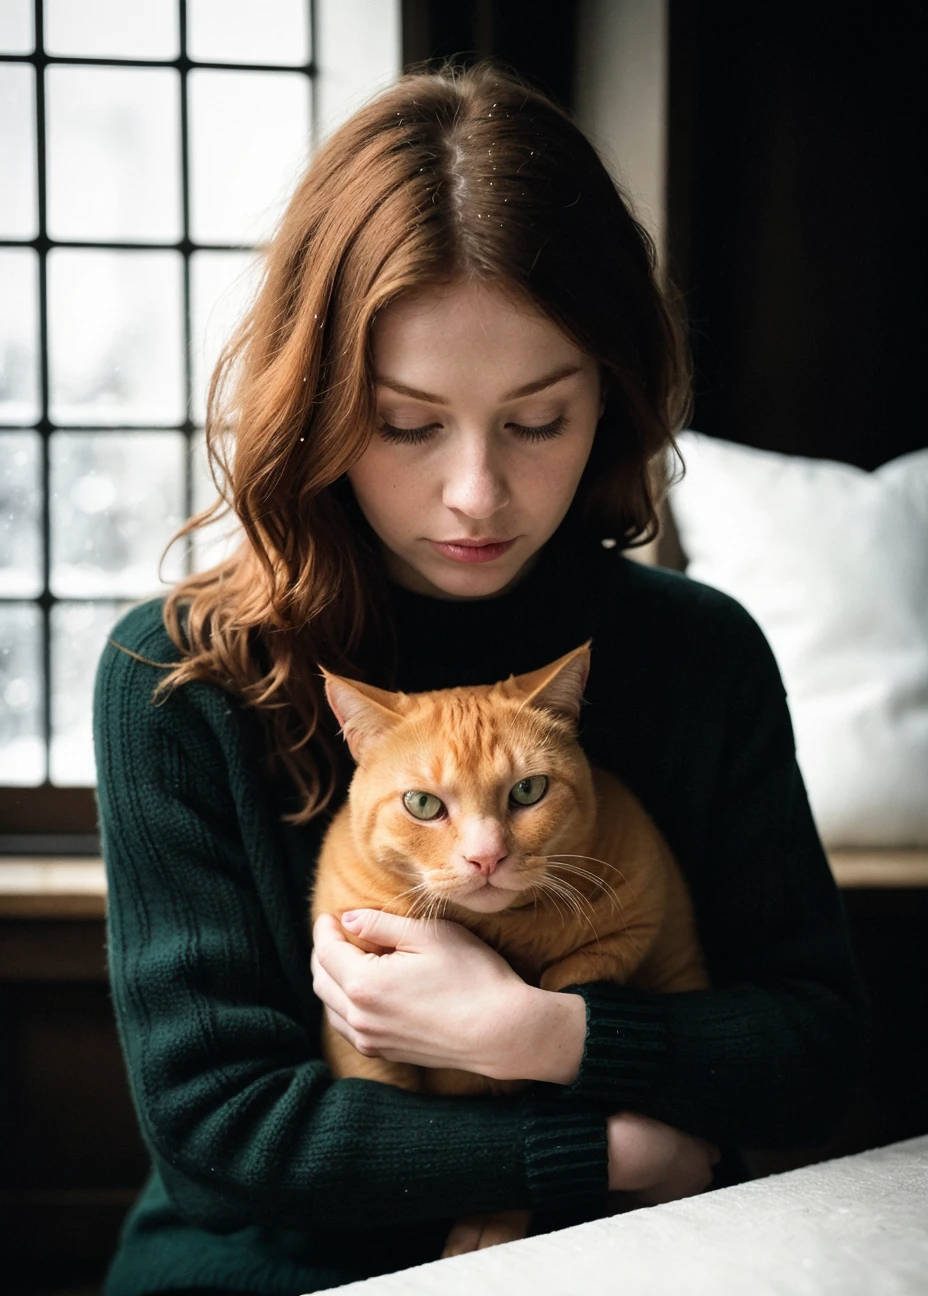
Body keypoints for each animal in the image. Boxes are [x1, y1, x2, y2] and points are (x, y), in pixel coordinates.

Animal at [308, 648, 705, 1254]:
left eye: (527, 791)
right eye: (422, 803)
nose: (486, 857)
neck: (497, 930)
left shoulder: (632, 921)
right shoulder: (350, 1023)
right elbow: (381, 1089)